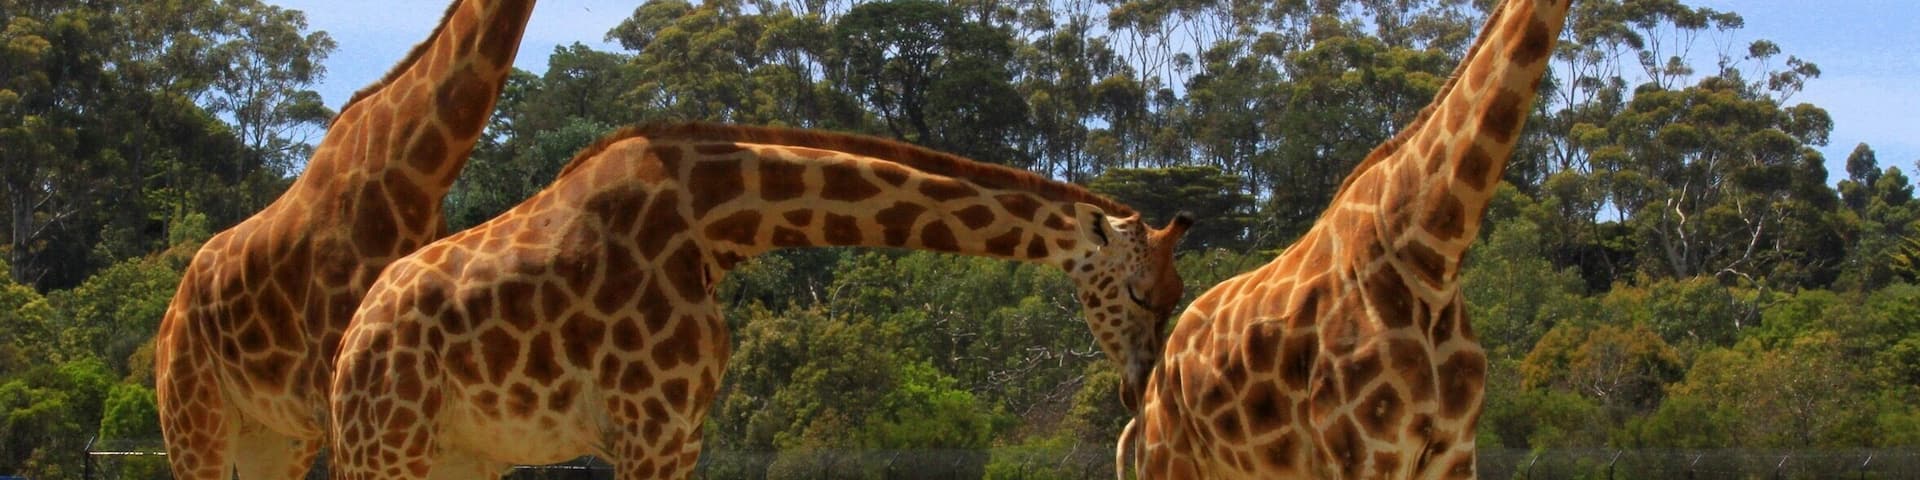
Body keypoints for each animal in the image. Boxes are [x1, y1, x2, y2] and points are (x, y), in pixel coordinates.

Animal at [324, 122, 1192, 479]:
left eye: (1179, 294)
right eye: (1140, 291)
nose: (1138, 388)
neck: (713, 226)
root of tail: (350, 339)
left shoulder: (681, 432)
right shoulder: (646, 429)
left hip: (461, 456)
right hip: (388, 445)